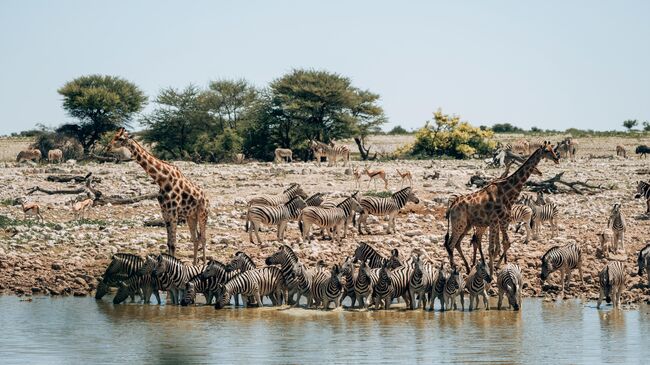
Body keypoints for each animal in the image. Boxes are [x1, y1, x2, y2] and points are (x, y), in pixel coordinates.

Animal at [109, 127, 209, 262]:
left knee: (203, 238)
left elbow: (173, 243)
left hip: (202, 214)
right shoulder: (165, 212)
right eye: (114, 136)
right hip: (191, 216)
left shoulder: (173, 212)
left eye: (120, 138)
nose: (108, 147)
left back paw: (203, 263)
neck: (162, 179)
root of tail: (207, 198)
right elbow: (169, 243)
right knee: (196, 238)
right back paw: (194, 263)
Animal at [442, 141, 560, 272]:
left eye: (553, 149)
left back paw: (467, 268)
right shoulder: (498, 221)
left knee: (458, 243)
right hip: (459, 223)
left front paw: (493, 266)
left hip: (467, 224)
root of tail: (452, 206)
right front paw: (492, 269)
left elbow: (500, 245)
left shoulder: (499, 222)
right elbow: (497, 246)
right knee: (451, 244)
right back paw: (454, 269)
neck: (506, 192)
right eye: (547, 150)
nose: (556, 159)